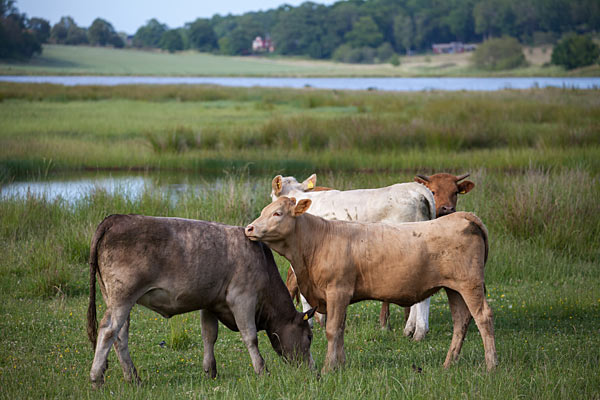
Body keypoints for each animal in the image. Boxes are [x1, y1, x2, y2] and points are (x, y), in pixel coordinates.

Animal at [88, 216, 318, 388]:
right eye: (309, 336)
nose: (313, 369)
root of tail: (115, 218)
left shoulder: (210, 302)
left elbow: (209, 335)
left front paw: (210, 371)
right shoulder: (243, 298)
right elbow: (250, 337)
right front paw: (262, 370)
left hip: (114, 298)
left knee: (120, 336)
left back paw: (133, 378)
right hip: (123, 297)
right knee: (108, 330)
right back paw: (97, 378)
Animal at [244, 198, 496, 374]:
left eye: (277, 213)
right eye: (263, 211)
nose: (249, 228)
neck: (316, 242)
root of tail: (462, 216)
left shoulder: (337, 290)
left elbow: (332, 330)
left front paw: (328, 368)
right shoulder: (341, 296)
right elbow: (341, 329)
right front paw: (341, 365)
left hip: (469, 283)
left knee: (483, 317)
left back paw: (491, 365)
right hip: (454, 288)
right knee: (461, 321)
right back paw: (448, 364)